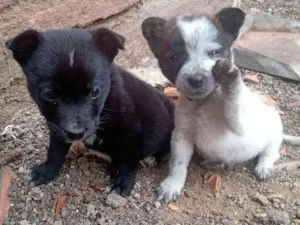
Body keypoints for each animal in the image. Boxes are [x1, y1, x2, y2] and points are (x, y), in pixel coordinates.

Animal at [6, 26, 173, 195]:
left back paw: (153, 158)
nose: (76, 133)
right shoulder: (56, 127)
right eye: (48, 94)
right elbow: (55, 151)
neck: (107, 102)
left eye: (95, 91)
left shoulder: (131, 131)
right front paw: (47, 171)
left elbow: (128, 162)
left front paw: (123, 182)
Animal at [142, 7, 300, 203]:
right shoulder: (182, 134)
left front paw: (230, 77)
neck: (204, 102)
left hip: (272, 134)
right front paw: (172, 185)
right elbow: (177, 163)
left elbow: (233, 100)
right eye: (174, 57)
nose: (196, 80)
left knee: (271, 152)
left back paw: (264, 166)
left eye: (214, 53)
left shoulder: (240, 127)